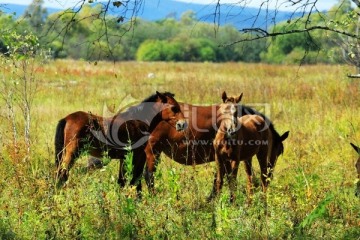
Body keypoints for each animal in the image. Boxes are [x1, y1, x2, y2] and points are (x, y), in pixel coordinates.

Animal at [55, 91, 188, 190]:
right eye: (174, 108)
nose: (182, 124)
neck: (138, 122)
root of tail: (67, 118)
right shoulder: (138, 156)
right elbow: (135, 181)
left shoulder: (124, 158)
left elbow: (122, 181)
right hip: (72, 152)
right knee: (62, 174)